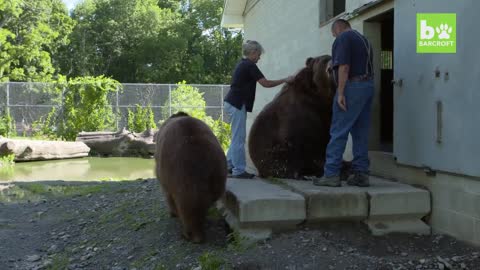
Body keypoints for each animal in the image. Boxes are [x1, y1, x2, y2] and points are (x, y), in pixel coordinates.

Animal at [155, 111, 228, 243]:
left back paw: (191, 234)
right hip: (217, 174)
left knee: (187, 207)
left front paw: (173, 213)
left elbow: (168, 194)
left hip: (180, 174)